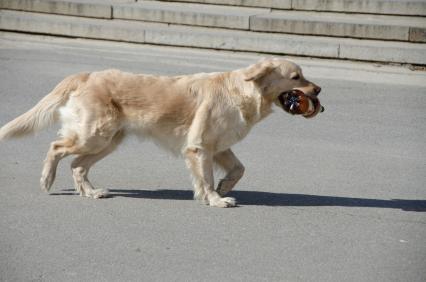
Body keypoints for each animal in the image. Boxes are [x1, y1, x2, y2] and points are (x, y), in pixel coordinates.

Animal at [0, 57, 322, 207]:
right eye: (296, 77)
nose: (318, 90)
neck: (243, 91)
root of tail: (86, 74)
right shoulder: (200, 146)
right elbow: (205, 178)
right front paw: (215, 199)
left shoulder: (217, 147)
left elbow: (239, 169)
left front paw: (223, 188)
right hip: (95, 135)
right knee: (56, 149)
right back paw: (47, 180)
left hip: (108, 141)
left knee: (78, 166)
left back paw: (91, 193)